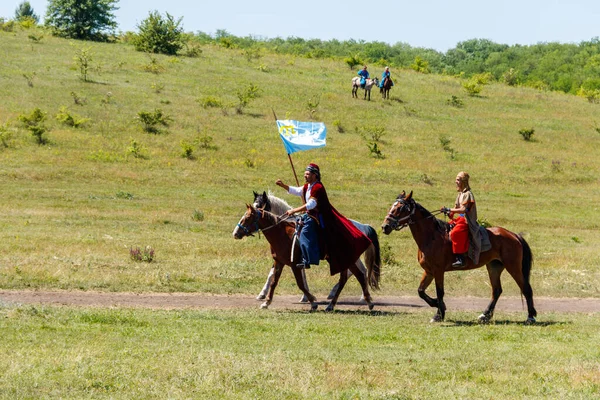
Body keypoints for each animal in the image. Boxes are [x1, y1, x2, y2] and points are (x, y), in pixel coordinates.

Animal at [233, 203, 380, 312]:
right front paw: (267, 302)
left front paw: (312, 301)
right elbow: (274, 281)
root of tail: (362, 228)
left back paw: (366, 301)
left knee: (359, 275)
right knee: (349, 277)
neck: (281, 234)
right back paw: (333, 304)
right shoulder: (279, 261)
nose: (235, 233)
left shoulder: (294, 264)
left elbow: (300, 283)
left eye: (247, 218)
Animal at [382, 189, 536, 324]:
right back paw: (485, 315)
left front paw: (439, 314)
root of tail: (513, 235)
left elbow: (440, 292)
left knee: (526, 288)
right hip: (494, 267)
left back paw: (530, 317)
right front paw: (439, 306)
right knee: (497, 290)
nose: (385, 226)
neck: (432, 236)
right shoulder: (429, 271)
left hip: (513, 267)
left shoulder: (438, 271)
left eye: (400, 208)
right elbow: (421, 291)